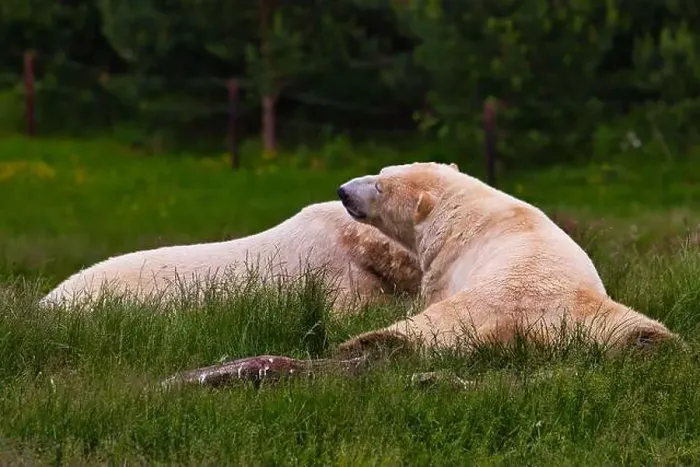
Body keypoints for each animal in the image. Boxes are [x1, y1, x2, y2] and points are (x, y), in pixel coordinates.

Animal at [334, 162, 679, 355]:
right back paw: (653, 342)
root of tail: (516, 325)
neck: (461, 204)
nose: (343, 191)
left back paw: (364, 343)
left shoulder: (444, 266)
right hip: (584, 313)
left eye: (379, 186)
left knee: (417, 329)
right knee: (631, 326)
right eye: (381, 172)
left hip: (466, 310)